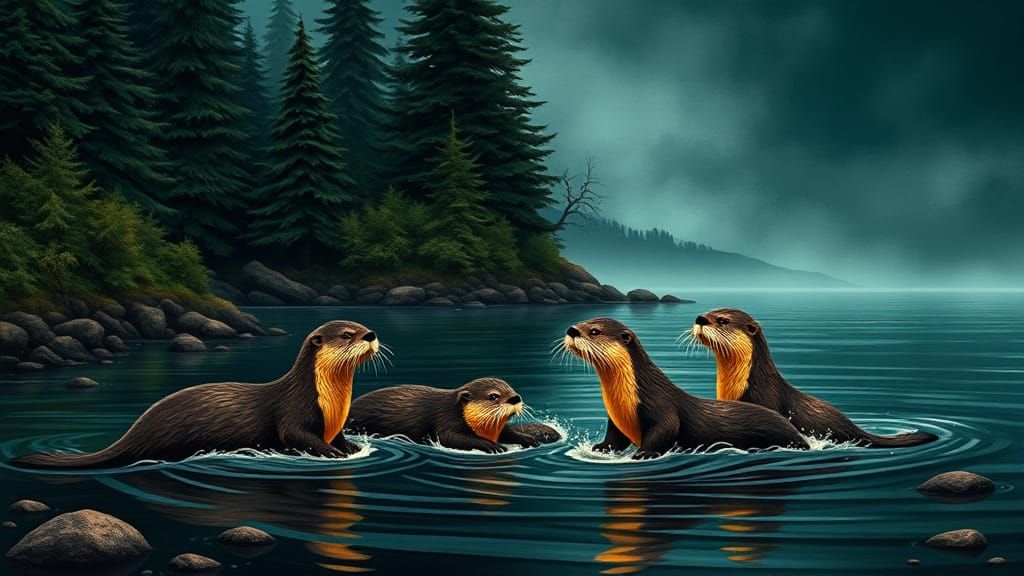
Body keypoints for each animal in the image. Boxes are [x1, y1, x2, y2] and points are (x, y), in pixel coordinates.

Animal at [12, 321, 380, 469]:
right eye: (347, 334)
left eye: (362, 327)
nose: (372, 334)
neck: (329, 403)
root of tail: (135, 432)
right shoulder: (294, 414)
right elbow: (296, 435)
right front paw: (333, 454)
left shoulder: (334, 424)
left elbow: (339, 438)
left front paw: (349, 448)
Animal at [345, 378, 561, 453]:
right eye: (494, 396)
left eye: (511, 389)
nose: (516, 398)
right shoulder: (446, 420)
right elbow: (450, 438)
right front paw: (492, 446)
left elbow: (509, 433)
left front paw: (528, 439)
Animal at [562, 317, 809, 459]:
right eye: (583, 323)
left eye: (594, 331)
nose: (572, 330)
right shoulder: (616, 421)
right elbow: (614, 438)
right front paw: (600, 448)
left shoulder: (660, 406)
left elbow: (666, 429)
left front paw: (643, 454)